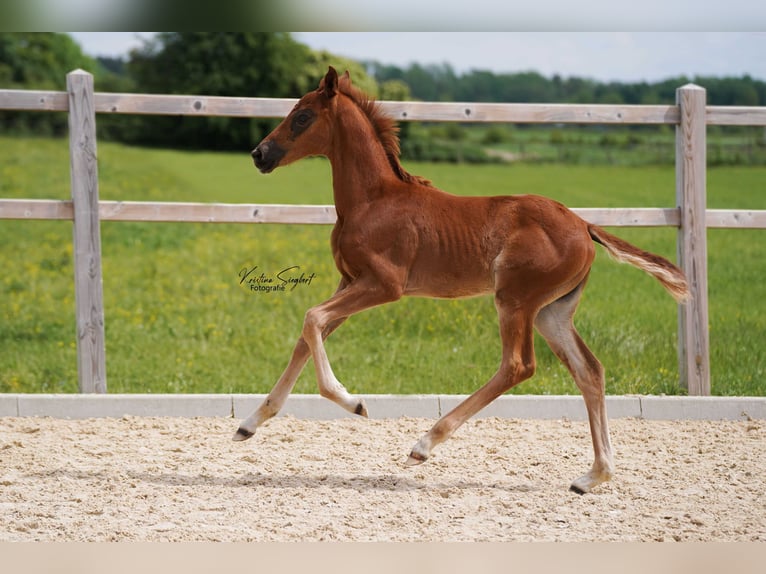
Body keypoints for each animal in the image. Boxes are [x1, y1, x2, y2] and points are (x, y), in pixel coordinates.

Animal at [236, 68, 688, 496]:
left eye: (302, 116)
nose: (259, 154)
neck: (373, 200)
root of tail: (585, 225)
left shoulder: (383, 285)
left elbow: (311, 319)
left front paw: (354, 402)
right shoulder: (349, 282)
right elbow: (306, 336)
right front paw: (250, 422)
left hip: (515, 300)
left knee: (518, 365)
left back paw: (424, 443)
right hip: (552, 312)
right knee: (589, 371)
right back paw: (593, 476)